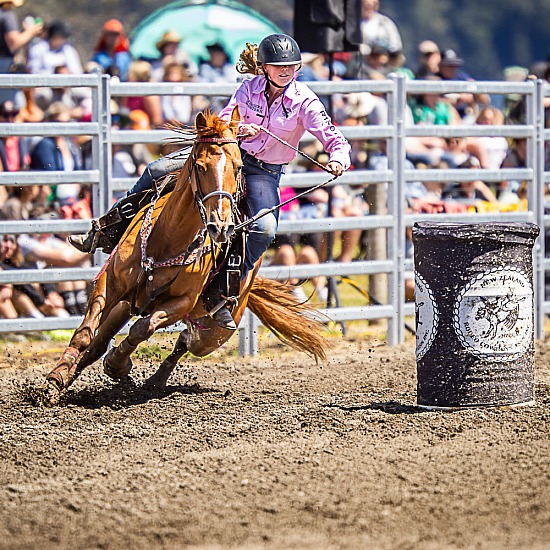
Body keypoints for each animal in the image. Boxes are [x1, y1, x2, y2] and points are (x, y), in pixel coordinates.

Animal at [43, 110, 330, 408]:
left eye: (238, 166)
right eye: (200, 165)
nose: (221, 226)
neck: (166, 239)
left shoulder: (181, 303)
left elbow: (143, 328)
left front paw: (117, 363)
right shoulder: (109, 283)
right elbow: (85, 334)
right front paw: (55, 381)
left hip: (215, 332)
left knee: (186, 341)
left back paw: (154, 379)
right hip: (127, 304)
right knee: (102, 341)